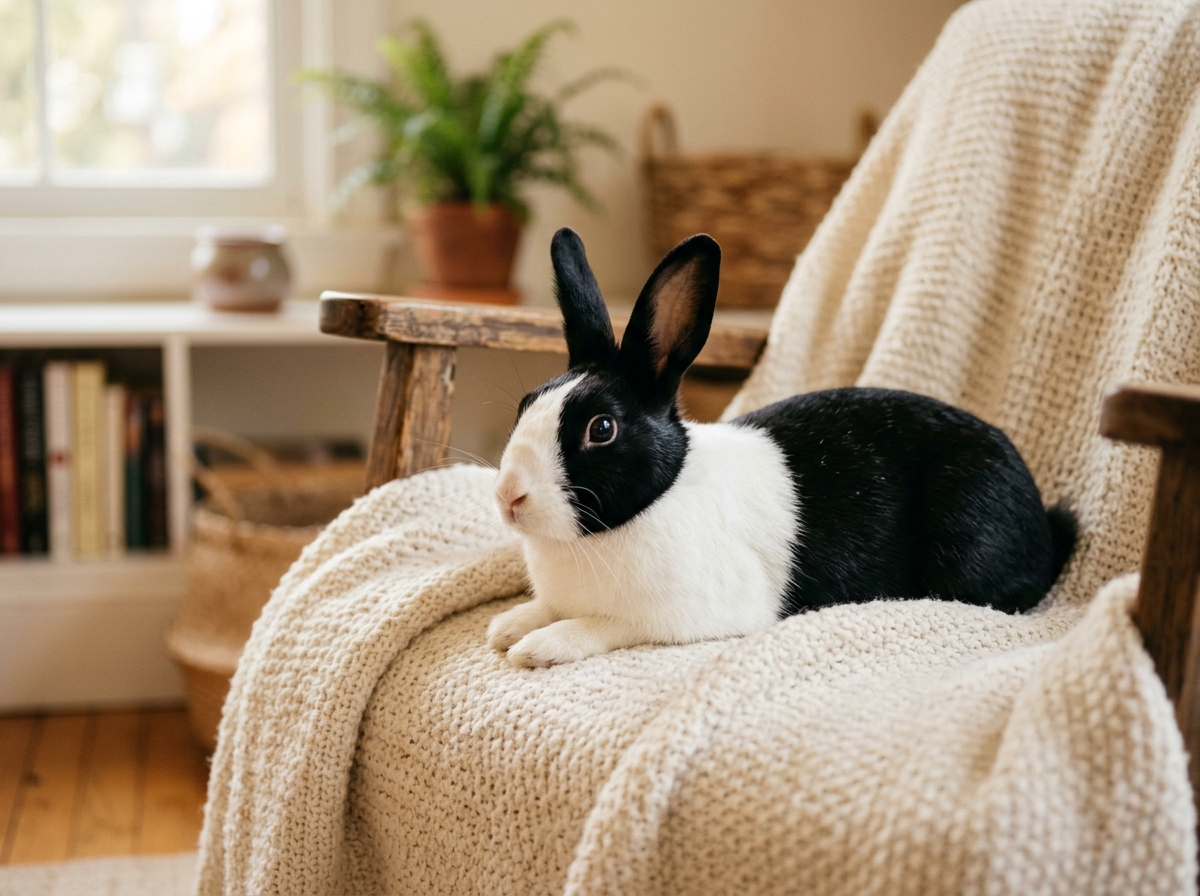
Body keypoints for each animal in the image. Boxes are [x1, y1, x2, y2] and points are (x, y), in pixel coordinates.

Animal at [487, 227, 1077, 668]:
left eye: (602, 428)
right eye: (526, 404)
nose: (508, 498)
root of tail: (1045, 527)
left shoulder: (677, 616)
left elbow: (603, 624)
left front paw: (537, 646)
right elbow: (546, 607)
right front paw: (508, 625)